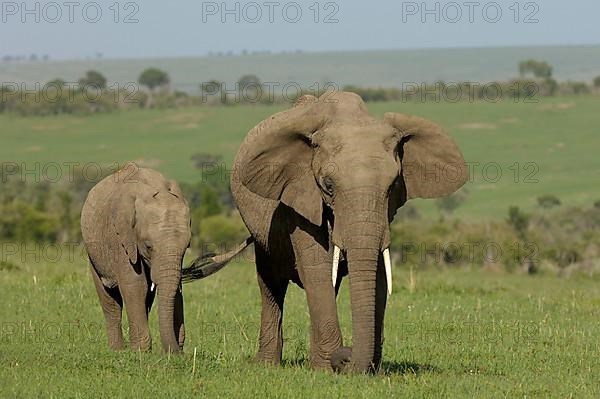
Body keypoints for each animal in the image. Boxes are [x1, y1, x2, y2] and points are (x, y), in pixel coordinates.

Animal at [81, 162, 191, 354]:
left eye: (187, 247)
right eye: (148, 246)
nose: (177, 353)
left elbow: (171, 287)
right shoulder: (120, 237)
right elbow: (135, 284)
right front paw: (140, 352)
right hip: (93, 252)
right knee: (109, 299)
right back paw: (116, 350)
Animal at [185, 92, 466, 374]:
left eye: (394, 184)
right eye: (328, 185)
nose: (347, 357)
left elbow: (375, 271)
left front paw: (361, 368)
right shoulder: (299, 196)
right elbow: (317, 267)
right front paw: (325, 368)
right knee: (271, 282)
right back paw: (267, 364)